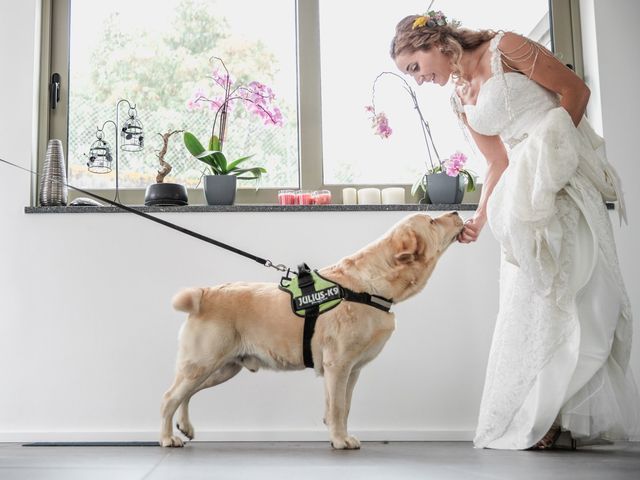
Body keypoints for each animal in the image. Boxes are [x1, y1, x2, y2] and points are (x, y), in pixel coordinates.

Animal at [159, 212, 460, 448]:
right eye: (432, 221)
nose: (456, 212)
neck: (367, 287)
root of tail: (204, 293)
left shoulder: (351, 370)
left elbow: (343, 406)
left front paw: (339, 435)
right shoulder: (337, 364)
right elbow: (337, 406)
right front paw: (339, 440)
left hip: (221, 368)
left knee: (186, 394)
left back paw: (185, 426)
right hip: (202, 362)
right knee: (169, 397)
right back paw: (166, 438)